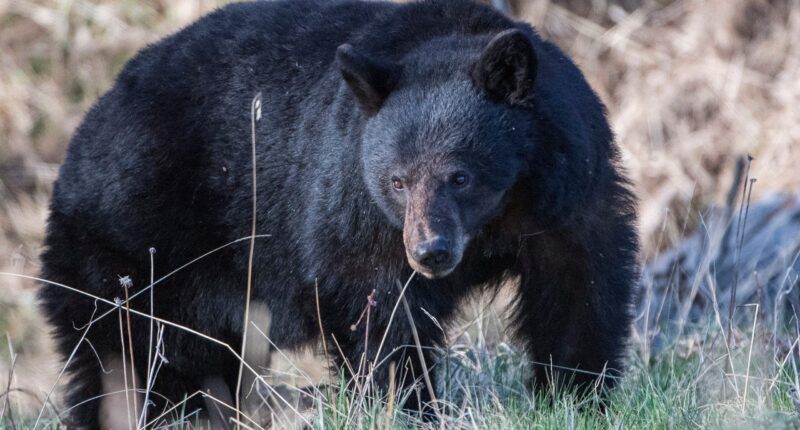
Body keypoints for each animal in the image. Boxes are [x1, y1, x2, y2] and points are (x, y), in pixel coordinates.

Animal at [38, 0, 638, 427]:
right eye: (397, 180)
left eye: (459, 175)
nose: (431, 253)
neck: (499, 217)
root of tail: (84, 134)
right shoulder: (356, 209)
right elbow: (383, 313)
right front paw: (405, 405)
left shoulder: (569, 193)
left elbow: (578, 290)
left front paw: (577, 395)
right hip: (134, 248)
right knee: (127, 354)